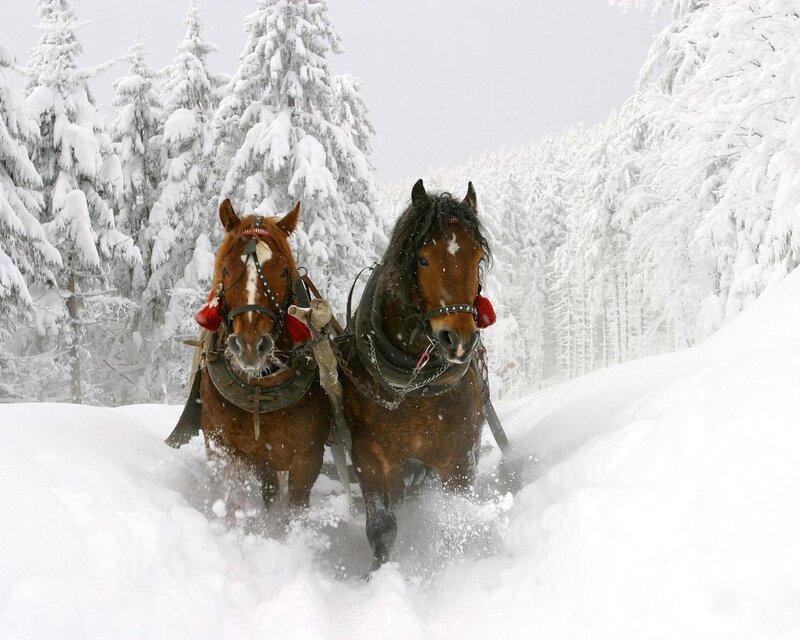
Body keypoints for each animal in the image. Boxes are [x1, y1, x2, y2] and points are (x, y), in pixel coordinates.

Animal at [167, 199, 331, 514]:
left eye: (283, 271)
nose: (251, 345)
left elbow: (294, 509)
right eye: (226, 269)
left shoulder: (308, 457)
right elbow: (236, 500)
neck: (259, 389)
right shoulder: (225, 447)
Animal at [340, 179, 492, 570]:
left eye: (476, 258)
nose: (458, 340)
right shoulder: (370, 455)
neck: (414, 386)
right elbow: (382, 527)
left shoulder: (459, 458)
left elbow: (457, 518)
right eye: (422, 259)